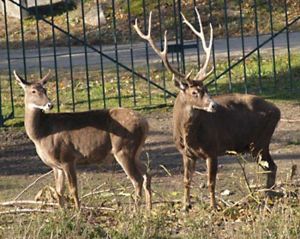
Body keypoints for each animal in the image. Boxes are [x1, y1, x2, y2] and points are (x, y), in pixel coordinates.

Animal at [13, 71, 152, 211]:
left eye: (45, 89)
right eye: (33, 91)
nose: (49, 105)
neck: (42, 134)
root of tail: (144, 123)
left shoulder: (67, 157)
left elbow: (73, 189)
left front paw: (78, 212)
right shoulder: (56, 165)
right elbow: (59, 191)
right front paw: (62, 213)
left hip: (123, 148)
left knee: (137, 179)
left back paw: (135, 211)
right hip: (135, 152)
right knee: (147, 173)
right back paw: (148, 209)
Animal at [135, 8, 280, 209]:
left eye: (207, 89)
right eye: (195, 92)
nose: (214, 105)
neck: (189, 136)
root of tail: (277, 110)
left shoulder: (212, 149)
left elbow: (211, 182)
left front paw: (214, 206)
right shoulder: (186, 154)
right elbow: (186, 180)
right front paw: (185, 206)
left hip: (260, 141)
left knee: (271, 166)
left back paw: (267, 197)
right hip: (258, 144)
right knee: (270, 166)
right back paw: (267, 196)